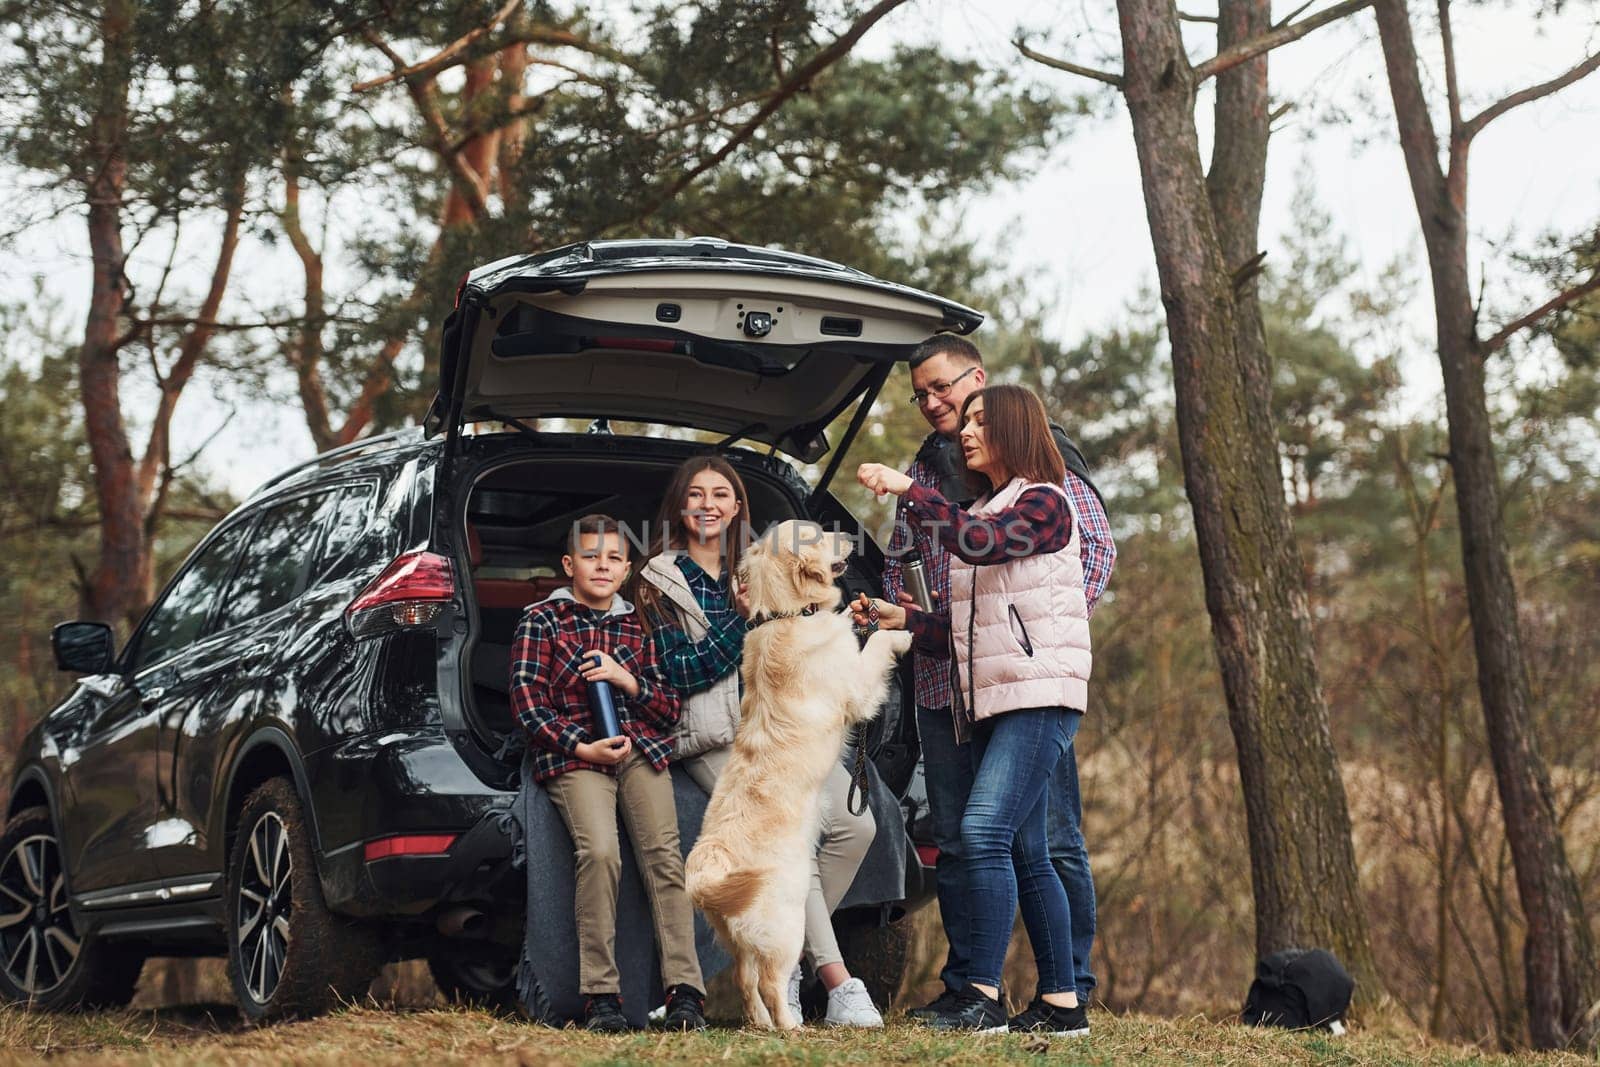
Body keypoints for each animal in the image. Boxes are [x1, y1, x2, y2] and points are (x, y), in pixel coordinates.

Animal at [684, 521, 915, 1030]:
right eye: (817, 534)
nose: (848, 533)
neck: (787, 613)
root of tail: (706, 879)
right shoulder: (857, 687)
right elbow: (875, 647)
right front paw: (902, 634)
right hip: (788, 922)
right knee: (769, 981)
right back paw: (791, 1027)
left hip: (739, 941)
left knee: (746, 981)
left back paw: (766, 1025)